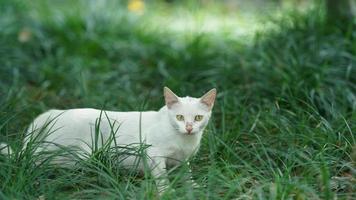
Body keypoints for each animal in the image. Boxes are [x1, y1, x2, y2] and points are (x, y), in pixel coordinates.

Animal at [24, 87, 217, 192]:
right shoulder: (153, 154)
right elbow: (161, 176)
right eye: (179, 117)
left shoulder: (182, 161)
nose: (189, 128)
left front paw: (193, 188)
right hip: (67, 152)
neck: (184, 141)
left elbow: (186, 175)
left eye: (198, 118)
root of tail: (56, 112)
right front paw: (166, 192)